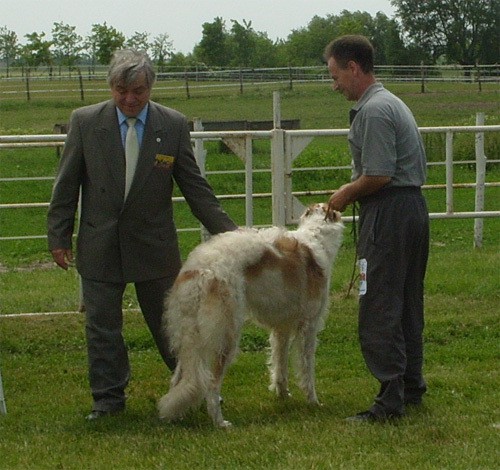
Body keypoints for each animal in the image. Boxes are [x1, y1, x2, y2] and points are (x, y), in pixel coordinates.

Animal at [158, 202, 342, 426]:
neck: (316, 236)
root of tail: (199, 270)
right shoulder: (309, 325)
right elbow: (307, 370)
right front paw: (313, 401)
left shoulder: (282, 328)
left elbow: (280, 365)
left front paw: (283, 395)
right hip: (225, 338)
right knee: (211, 385)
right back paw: (220, 423)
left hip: (189, 335)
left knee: (177, 379)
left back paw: (174, 416)